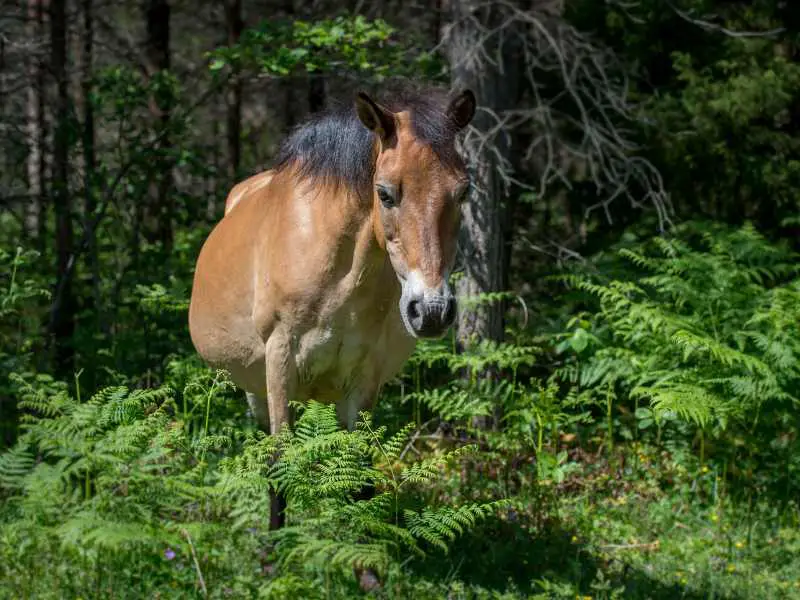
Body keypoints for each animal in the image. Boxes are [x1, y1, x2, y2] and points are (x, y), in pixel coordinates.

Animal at [188, 83, 476, 524]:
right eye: (385, 193)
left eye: (463, 191)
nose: (430, 311)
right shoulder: (279, 362)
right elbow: (279, 468)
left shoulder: (365, 377)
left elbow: (360, 476)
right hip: (255, 387)